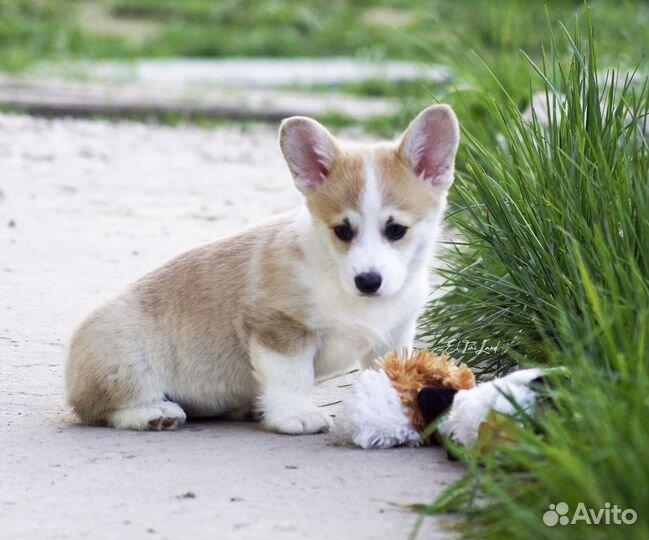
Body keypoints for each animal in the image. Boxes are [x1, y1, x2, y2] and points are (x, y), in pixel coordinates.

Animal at [64, 104, 460, 434]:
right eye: (342, 231)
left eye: (396, 230)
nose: (368, 281)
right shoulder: (279, 328)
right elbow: (292, 378)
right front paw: (296, 415)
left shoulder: (392, 338)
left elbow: (387, 377)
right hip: (125, 358)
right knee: (106, 409)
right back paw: (154, 413)